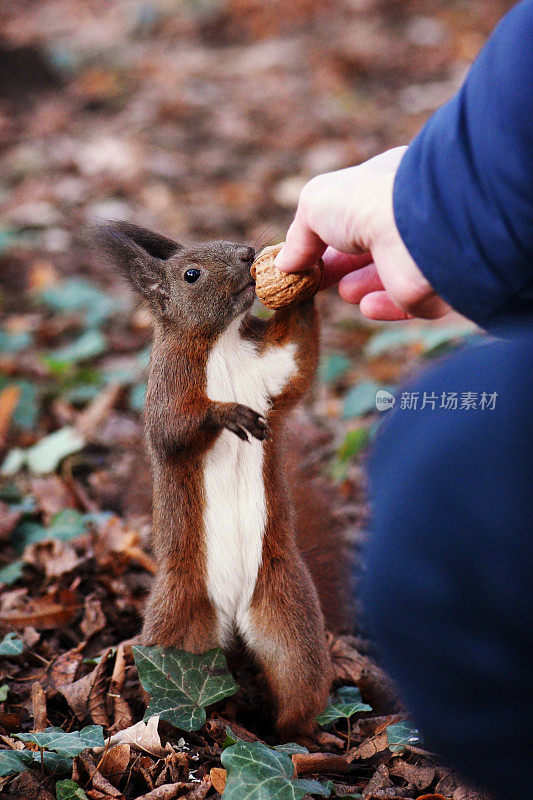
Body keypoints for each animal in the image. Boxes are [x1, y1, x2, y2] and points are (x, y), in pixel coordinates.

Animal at [101, 222, 350, 740]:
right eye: (191, 274)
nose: (248, 253)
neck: (224, 341)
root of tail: (234, 616)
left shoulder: (271, 366)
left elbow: (299, 361)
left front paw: (306, 274)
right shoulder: (169, 382)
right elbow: (173, 429)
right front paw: (226, 414)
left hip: (288, 610)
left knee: (299, 679)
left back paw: (285, 734)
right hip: (179, 618)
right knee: (168, 664)